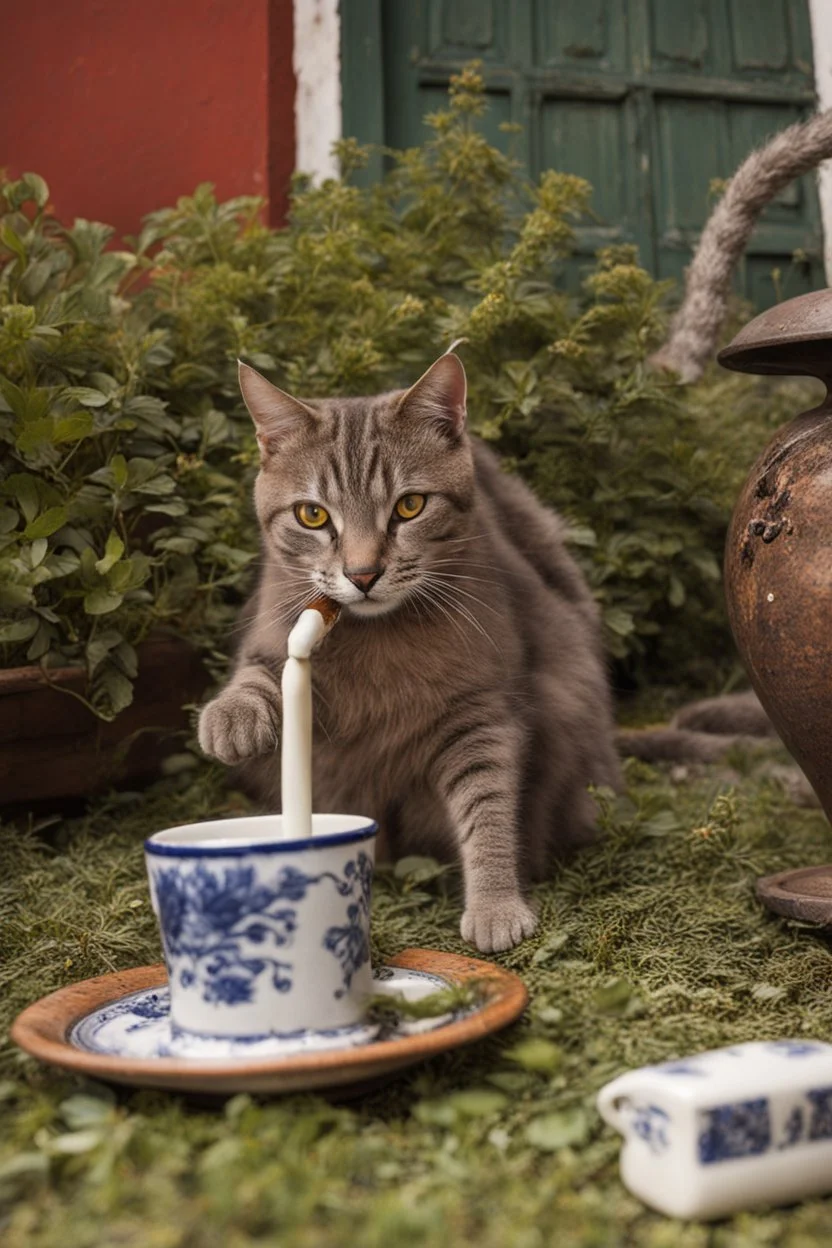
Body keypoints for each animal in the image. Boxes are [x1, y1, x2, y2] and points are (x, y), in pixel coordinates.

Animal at [198, 354, 621, 953]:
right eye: (312, 516)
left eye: (410, 506)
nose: (362, 574)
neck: (380, 636)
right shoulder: (277, 637)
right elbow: (260, 673)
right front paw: (231, 717)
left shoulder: (480, 714)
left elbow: (488, 808)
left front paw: (494, 904)